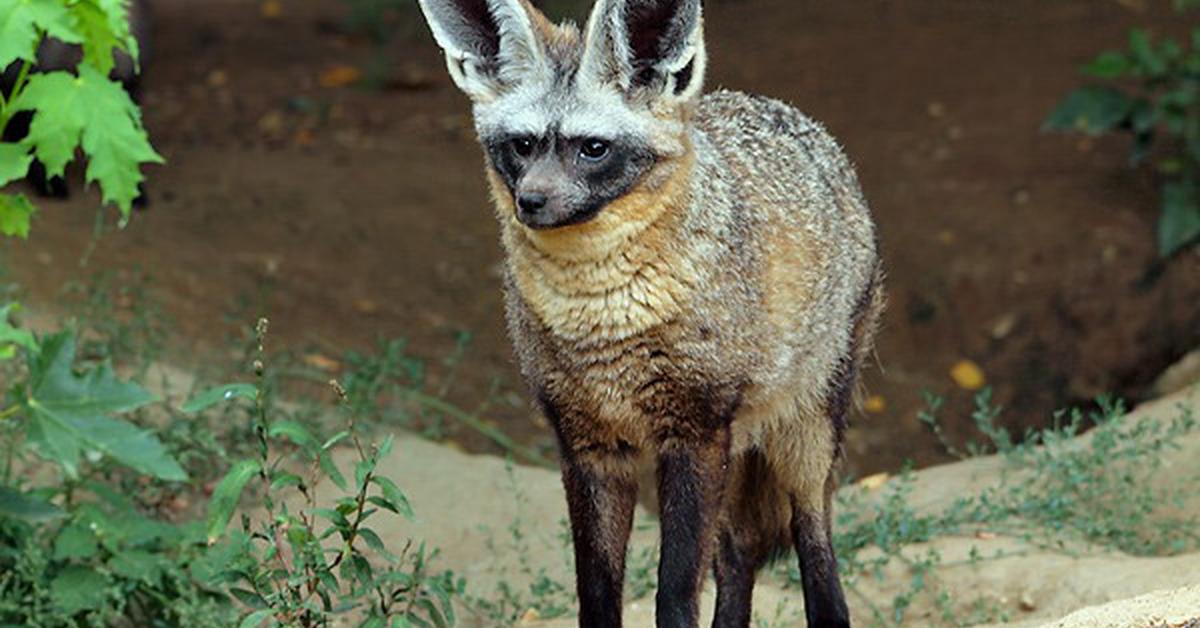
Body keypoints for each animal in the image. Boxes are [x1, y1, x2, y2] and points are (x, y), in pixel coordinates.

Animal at [415, 2, 883, 624]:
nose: (529, 203)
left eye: (592, 148)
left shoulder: (694, 432)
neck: (601, 322)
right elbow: (596, 591)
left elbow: (674, 592)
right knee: (737, 558)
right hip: (739, 454)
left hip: (803, 443)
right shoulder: (588, 445)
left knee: (817, 553)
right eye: (522, 145)